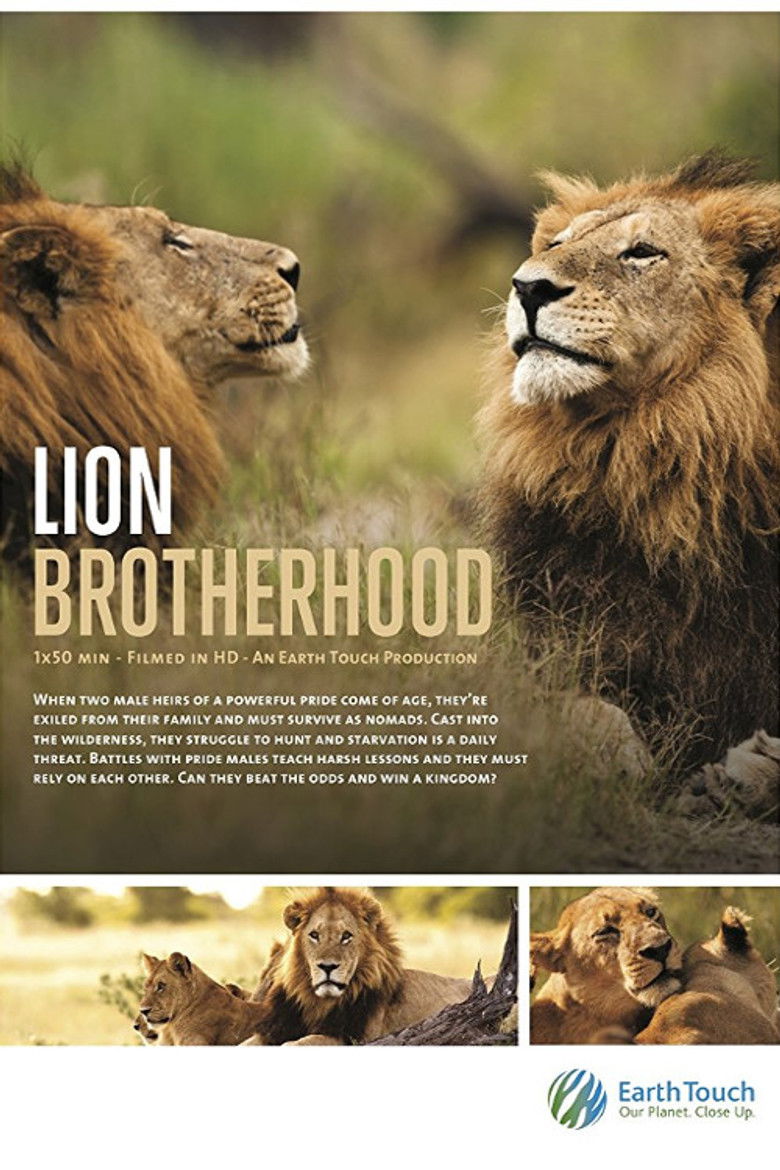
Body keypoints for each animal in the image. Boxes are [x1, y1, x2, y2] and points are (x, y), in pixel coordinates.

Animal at [243, 886, 481, 1045]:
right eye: (314, 935)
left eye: (346, 936)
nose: (327, 967)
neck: (318, 1003)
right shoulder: (274, 1029)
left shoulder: (353, 1038)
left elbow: (305, 1041)